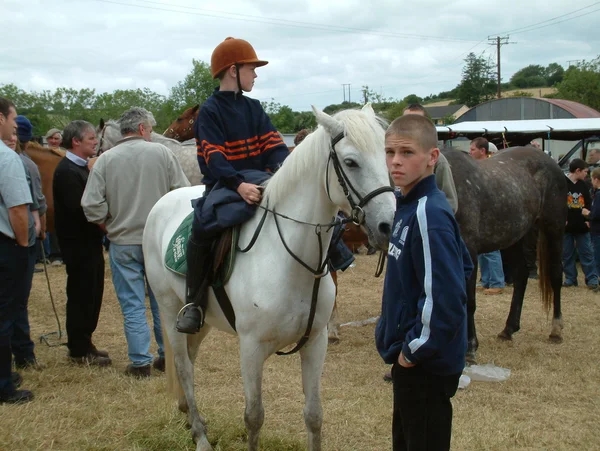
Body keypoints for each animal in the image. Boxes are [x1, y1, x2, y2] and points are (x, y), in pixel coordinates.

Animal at [141, 104, 394, 450]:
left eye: (386, 155)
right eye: (351, 162)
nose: (388, 226)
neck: (288, 259)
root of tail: (162, 203)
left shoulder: (316, 343)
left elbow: (314, 415)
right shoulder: (251, 348)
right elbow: (254, 417)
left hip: (202, 321)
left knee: (189, 360)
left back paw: (190, 417)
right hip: (169, 311)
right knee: (183, 366)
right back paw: (200, 435)